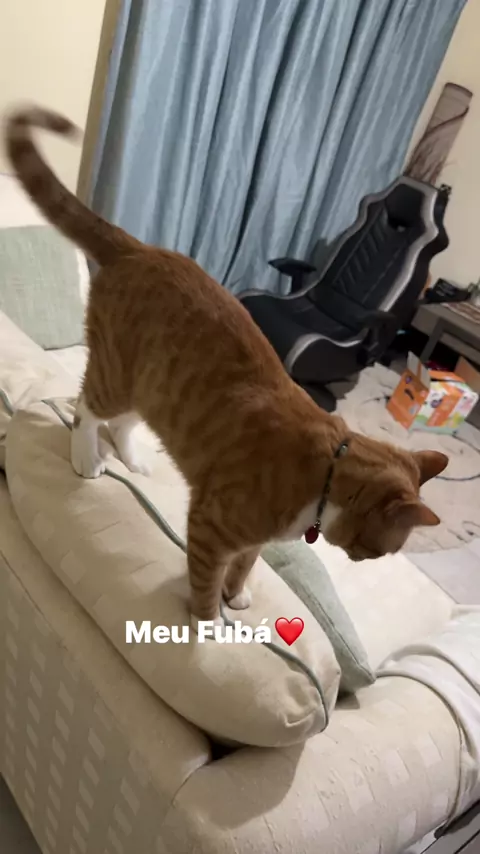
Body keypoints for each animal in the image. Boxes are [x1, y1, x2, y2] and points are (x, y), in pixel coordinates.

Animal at [5, 106, 448, 629]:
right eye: (381, 551)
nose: (364, 559)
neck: (327, 471)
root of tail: (141, 248)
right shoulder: (210, 526)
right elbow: (205, 579)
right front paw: (209, 622)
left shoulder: (252, 540)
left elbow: (244, 566)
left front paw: (235, 596)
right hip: (117, 375)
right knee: (87, 409)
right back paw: (86, 458)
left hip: (153, 387)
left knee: (125, 423)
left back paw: (132, 459)